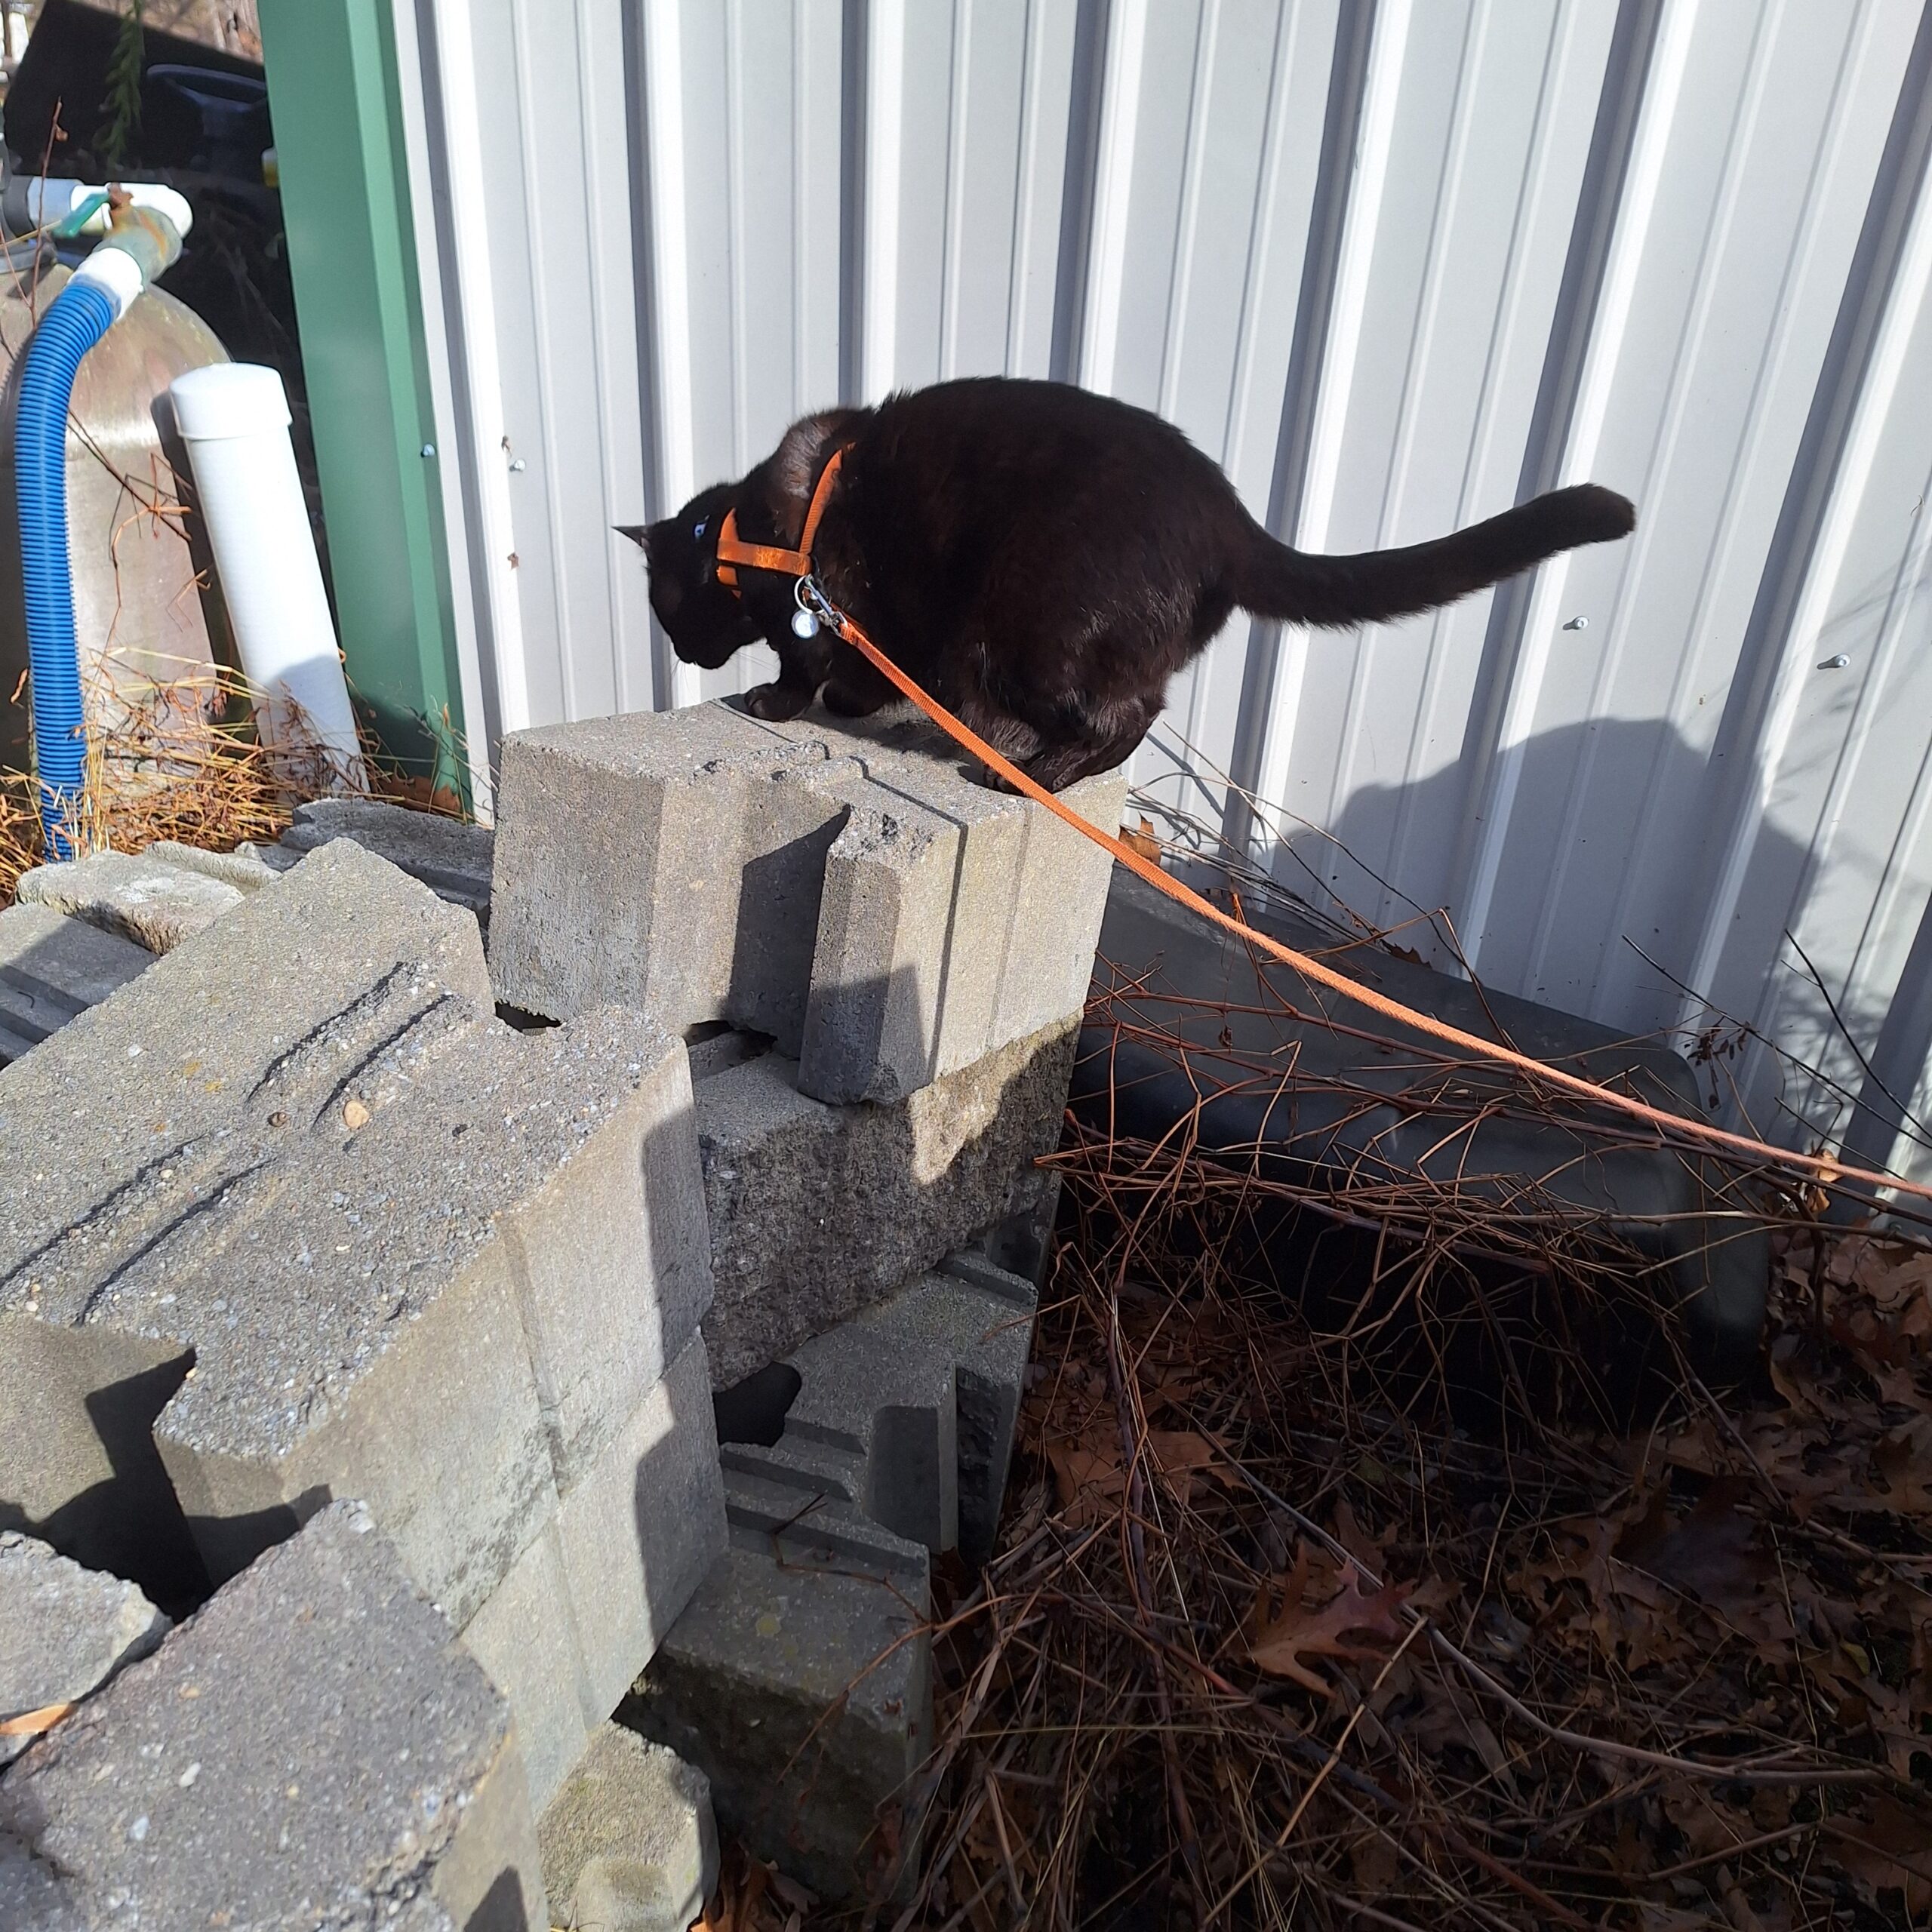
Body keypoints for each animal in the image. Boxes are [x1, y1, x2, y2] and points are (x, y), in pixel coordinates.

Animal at [628, 376, 1633, 793]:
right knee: (1136, 703)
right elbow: (864, 679)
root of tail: (1226, 516)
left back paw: (1031, 773)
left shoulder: (831, 609)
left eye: (663, 609)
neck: (740, 533)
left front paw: (776, 702)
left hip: (1011, 634)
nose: (681, 650)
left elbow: (810, 672)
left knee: (1126, 713)